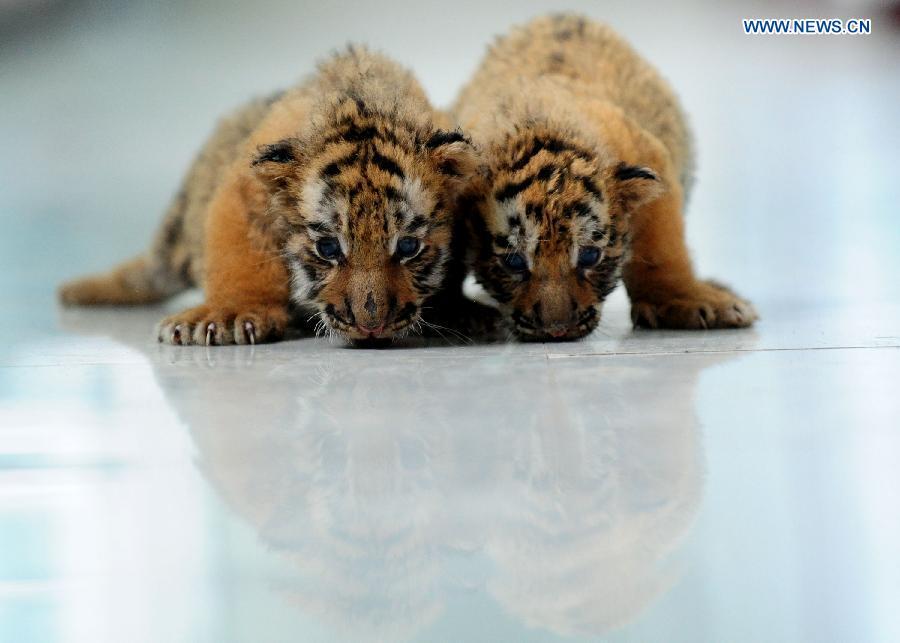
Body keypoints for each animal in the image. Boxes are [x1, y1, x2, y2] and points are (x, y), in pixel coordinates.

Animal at [59, 46, 480, 346]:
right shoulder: (243, 192)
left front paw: (459, 312)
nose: (370, 324)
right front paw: (228, 315)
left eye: (408, 247)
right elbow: (239, 255)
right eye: (328, 248)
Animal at [453, 14, 757, 340]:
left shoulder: (650, 155)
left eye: (589, 256)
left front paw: (684, 303)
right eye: (513, 261)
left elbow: (661, 246)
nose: (557, 330)